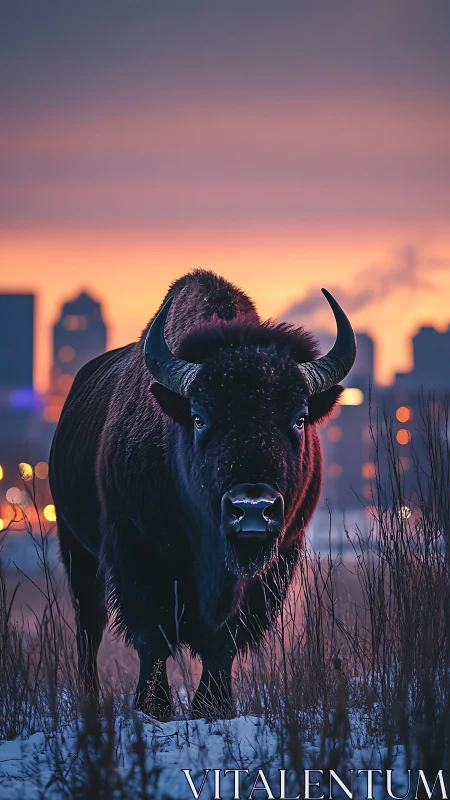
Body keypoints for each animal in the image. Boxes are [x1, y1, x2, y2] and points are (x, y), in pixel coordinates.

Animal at [49, 270, 356, 719]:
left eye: (299, 418)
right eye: (198, 418)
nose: (251, 509)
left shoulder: (275, 562)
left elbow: (223, 641)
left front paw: (213, 707)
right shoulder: (135, 550)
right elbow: (153, 636)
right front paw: (154, 707)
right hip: (77, 550)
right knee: (89, 627)